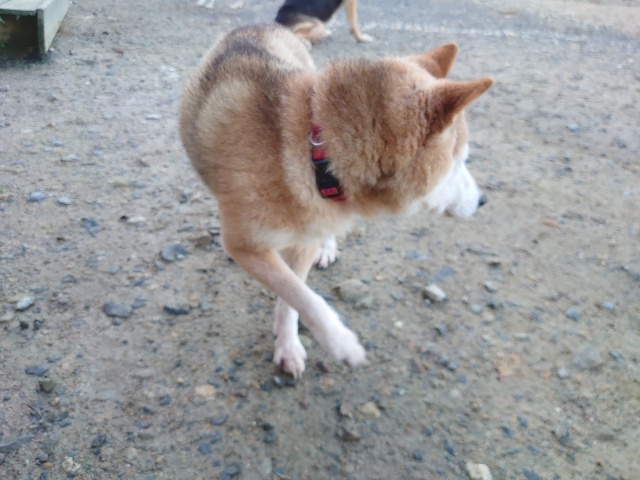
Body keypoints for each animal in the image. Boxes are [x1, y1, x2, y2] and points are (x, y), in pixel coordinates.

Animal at [179, 24, 492, 377]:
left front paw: (288, 342)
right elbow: (299, 293)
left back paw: (327, 247)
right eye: (458, 162)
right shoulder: (244, 243)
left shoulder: (304, 238)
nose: (483, 200)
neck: (316, 154)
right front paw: (340, 341)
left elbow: (293, 296)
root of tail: (265, 25)